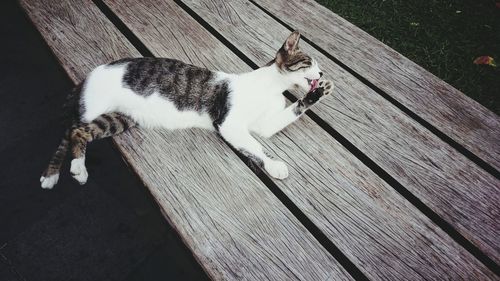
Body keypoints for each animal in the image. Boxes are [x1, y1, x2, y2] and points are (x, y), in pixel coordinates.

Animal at [41, 30, 334, 188]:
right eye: (309, 62)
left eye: (318, 66)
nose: (321, 73)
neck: (271, 88)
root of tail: (89, 75)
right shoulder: (229, 123)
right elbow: (256, 146)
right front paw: (274, 166)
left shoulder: (264, 124)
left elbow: (289, 114)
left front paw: (319, 92)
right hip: (94, 108)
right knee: (72, 132)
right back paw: (74, 169)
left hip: (118, 119)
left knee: (78, 132)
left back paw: (56, 174)